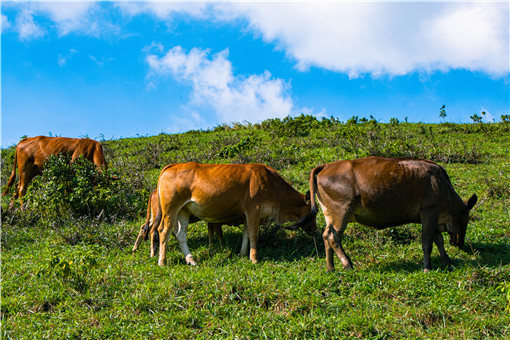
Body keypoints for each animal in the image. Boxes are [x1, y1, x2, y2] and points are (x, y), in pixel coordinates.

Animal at [157, 162, 312, 266]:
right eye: (312, 213)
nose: (315, 230)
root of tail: (171, 166)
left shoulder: (247, 214)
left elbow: (246, 234)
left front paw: (242, 253)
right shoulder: (253, 209)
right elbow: (254, 234)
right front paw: (254, 258)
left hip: (183, 211)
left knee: (181, 235)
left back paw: (191, 260)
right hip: (171, 209)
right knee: (164, 231)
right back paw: (162, 261)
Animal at [290, 157, 478, 274]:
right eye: (466, 218)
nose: (460, 243)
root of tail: (326, 166)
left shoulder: (433, 218)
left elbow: (438, 241)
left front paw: (447, 261)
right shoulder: (429, 213)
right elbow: (427, 243)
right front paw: (427, 268)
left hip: (330, 214)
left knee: (326, 236)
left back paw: (331, 268)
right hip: (341, 212)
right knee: (332, 236)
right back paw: (348, 264)